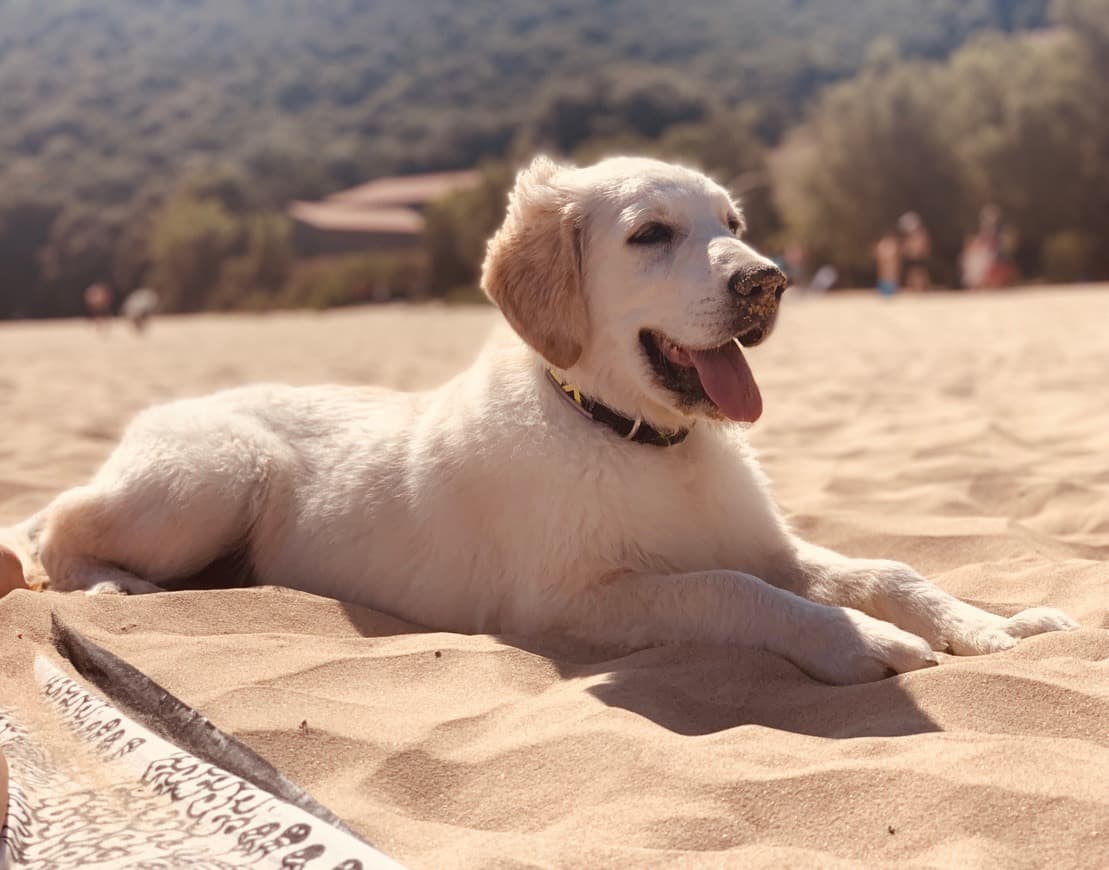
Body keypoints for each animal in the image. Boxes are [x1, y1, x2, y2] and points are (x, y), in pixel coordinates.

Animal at [0, 157, 1073, 688]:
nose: (768, 281)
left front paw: (994, 626)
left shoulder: (759, 541)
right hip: (213, 477)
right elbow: (727, 591)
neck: (636, 438)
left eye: (730, 223)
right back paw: (112, 585)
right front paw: (858, 643)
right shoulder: (569, 600)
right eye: (652, 234)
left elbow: (885, 568)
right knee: (57, 524)